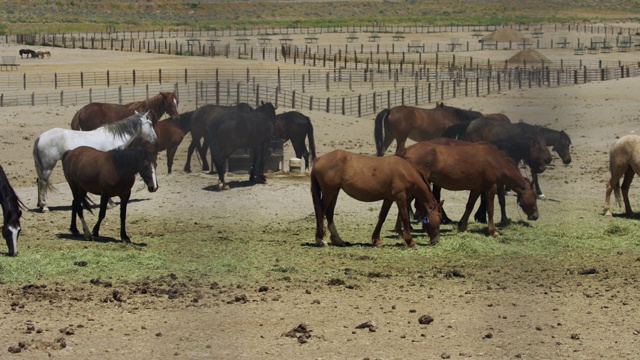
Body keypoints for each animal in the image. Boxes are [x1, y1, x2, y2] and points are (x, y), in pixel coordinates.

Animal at [308, 149, 440, 248]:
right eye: (439, 217)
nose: (436, 240)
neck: (406, 171)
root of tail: (319, 159)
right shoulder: (400, 197)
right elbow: (405, 218)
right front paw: (411, 241)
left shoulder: (389, 199)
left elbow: (382, 217)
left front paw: (377, 240)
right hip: (329, 191)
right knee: (321, 211)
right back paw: (321, 240)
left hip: (334, 191)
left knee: (329, 213)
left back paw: (338, 240)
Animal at [402, 141, 536, 239]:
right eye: (534, 196)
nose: (536, 216)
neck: (495, 160)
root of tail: (407, 151)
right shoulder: (490, 188)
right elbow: (490, 209)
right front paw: (493, 231)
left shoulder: (476, 188)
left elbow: (469, 206)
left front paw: (463, 228)